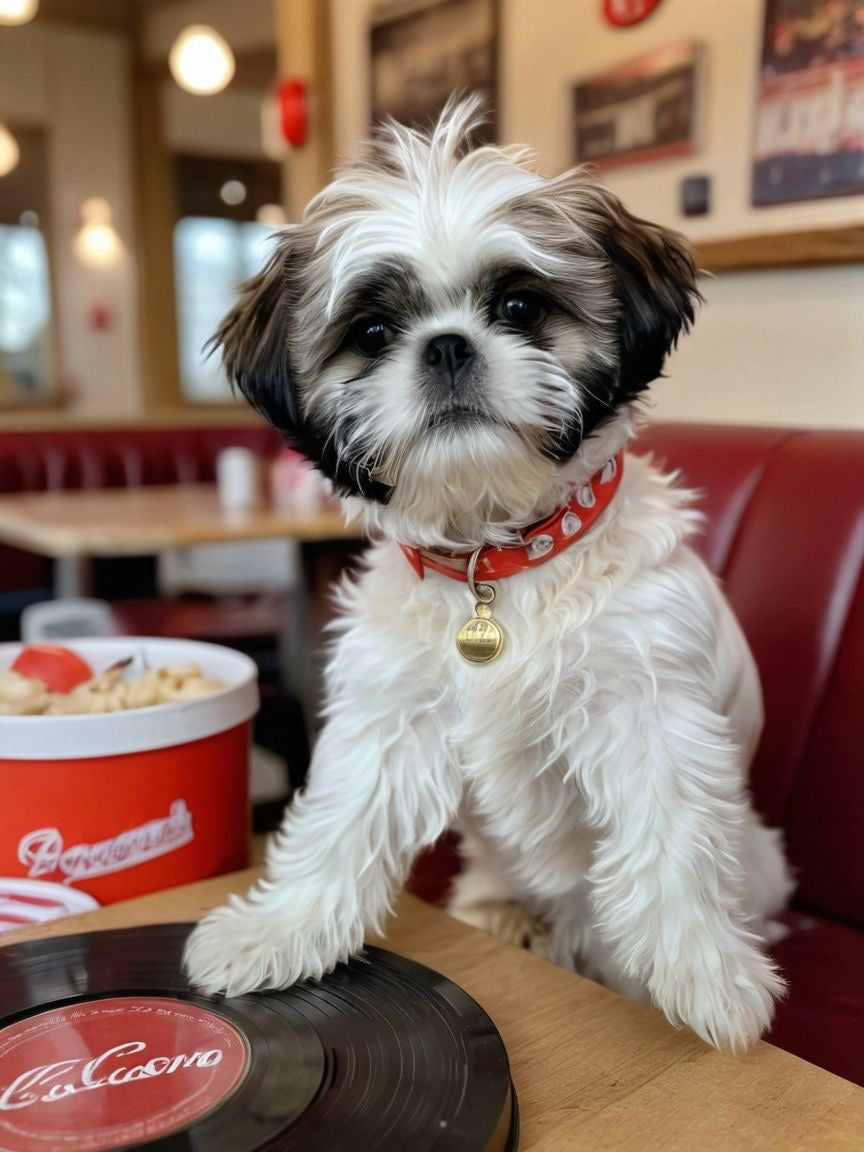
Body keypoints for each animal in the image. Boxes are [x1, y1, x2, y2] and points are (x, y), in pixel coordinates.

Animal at [186, 101, 797, 1055]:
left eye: (518, 306)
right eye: (372, 335)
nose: (445, 347)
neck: (496, 561)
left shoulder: (647, 706)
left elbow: (674, 834)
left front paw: (706, 973)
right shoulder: (389, 715)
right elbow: (341, 821)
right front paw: (279, 930)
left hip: (760, 859)